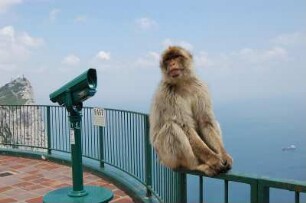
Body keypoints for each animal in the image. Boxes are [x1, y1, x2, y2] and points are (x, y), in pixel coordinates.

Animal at [149, 46, 233, 176]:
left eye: (176, 57)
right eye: (168, 60)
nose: (172, 64)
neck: (182, 83)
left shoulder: (200, 87)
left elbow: (205, 122)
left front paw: (224, 155)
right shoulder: (166, 93)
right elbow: (185, 127)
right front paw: (213, 159)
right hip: (166, 157)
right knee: (171, 127)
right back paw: (197, 166)